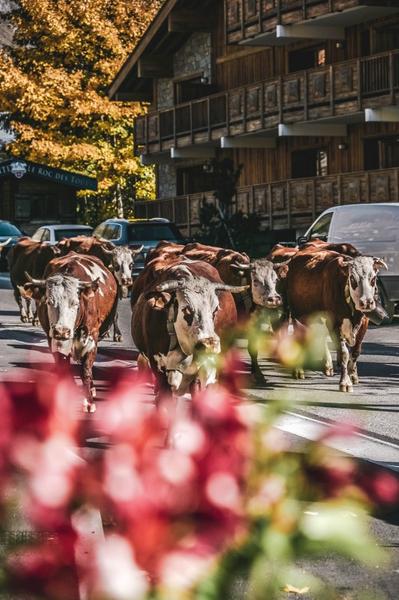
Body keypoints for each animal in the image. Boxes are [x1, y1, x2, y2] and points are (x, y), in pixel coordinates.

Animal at [23, 252, 118, 412]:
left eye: (75, 303)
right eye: (49, 302)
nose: (62, 331)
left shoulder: (92, 338)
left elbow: (86, 370)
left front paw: (89, 401)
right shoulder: (54, 340)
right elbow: (64, 367)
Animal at [288, 250, 388, 394]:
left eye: (373, 279)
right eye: (352, 279)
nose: (366, 302)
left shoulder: (364, 323)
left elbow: (356, 351)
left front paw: (353, 375)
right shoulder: (335, 323)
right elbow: (344, 353)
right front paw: (345, 382)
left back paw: (327, 366)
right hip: (296, 315)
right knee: (299, 339)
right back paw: (298, 371)